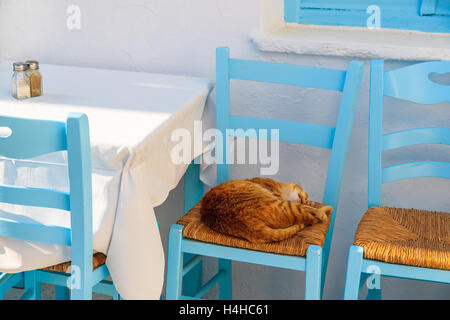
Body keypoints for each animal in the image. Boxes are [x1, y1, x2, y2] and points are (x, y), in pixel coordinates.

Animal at [200, 178, 330, 242]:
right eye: (306, 195)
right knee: (311, 218)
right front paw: (319, 211)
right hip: (284, 205)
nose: (305, 199)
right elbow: (309, 208)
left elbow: (310, 206)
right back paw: (322, 213)